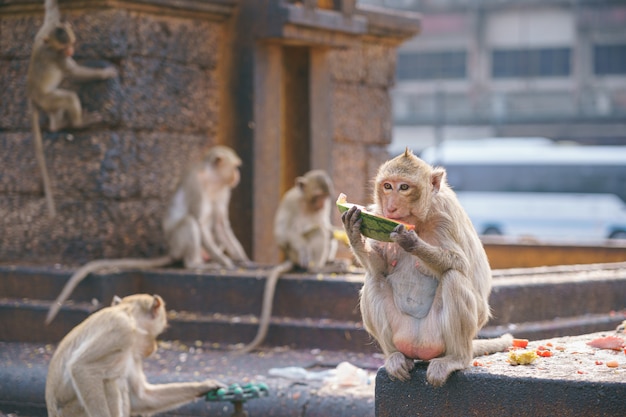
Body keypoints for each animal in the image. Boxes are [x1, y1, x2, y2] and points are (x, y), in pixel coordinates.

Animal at [26, 0, 118, 216]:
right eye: (65, 47)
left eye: (72, 44)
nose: (71, 52)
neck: (47, 42)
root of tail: (33, 97)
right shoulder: (57, 57)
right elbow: (74, 73)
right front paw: (103, 74)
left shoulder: (45, 27)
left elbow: (50, 11)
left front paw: (54, 4)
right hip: (48, 99)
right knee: (68, 97)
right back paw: (78, 123)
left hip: (48, 103)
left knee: (58, 109)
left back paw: (56, 125)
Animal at [45, 292, 224, 416]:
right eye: (157, 334)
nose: (154, 347)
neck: (128, 313)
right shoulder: (122, 329)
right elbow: (82, 368)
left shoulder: (133, 353)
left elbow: (141, 397)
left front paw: (205, 386)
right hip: (72, 412)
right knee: (109, 380)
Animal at [342, 148, 512, 386]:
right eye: (387, 186)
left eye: (404, 187)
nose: (391, 207)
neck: (419, 220)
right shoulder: (379, 213)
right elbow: (380, 267)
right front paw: (353, 231)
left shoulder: (446, 214)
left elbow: (461, 264)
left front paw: (411, 242)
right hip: (402, 333)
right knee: (374, 279)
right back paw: (394, 357)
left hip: (439, 337)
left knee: (454, 278)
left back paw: (456, 359)